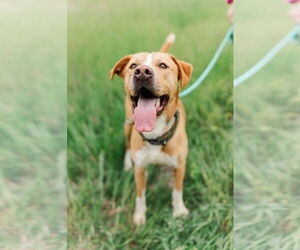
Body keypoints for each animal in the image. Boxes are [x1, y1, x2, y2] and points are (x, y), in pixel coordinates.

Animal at [110, 33, 192, 225]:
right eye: (133, 66)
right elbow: (140, 196)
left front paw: (179, 211)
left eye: (163, 65)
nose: (142, 72)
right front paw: (139, 216)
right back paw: (127, 163)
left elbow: (177, 191)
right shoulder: (140, 169)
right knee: (127, 145)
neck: (155, 134)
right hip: (127, 124)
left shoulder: (179, 166)